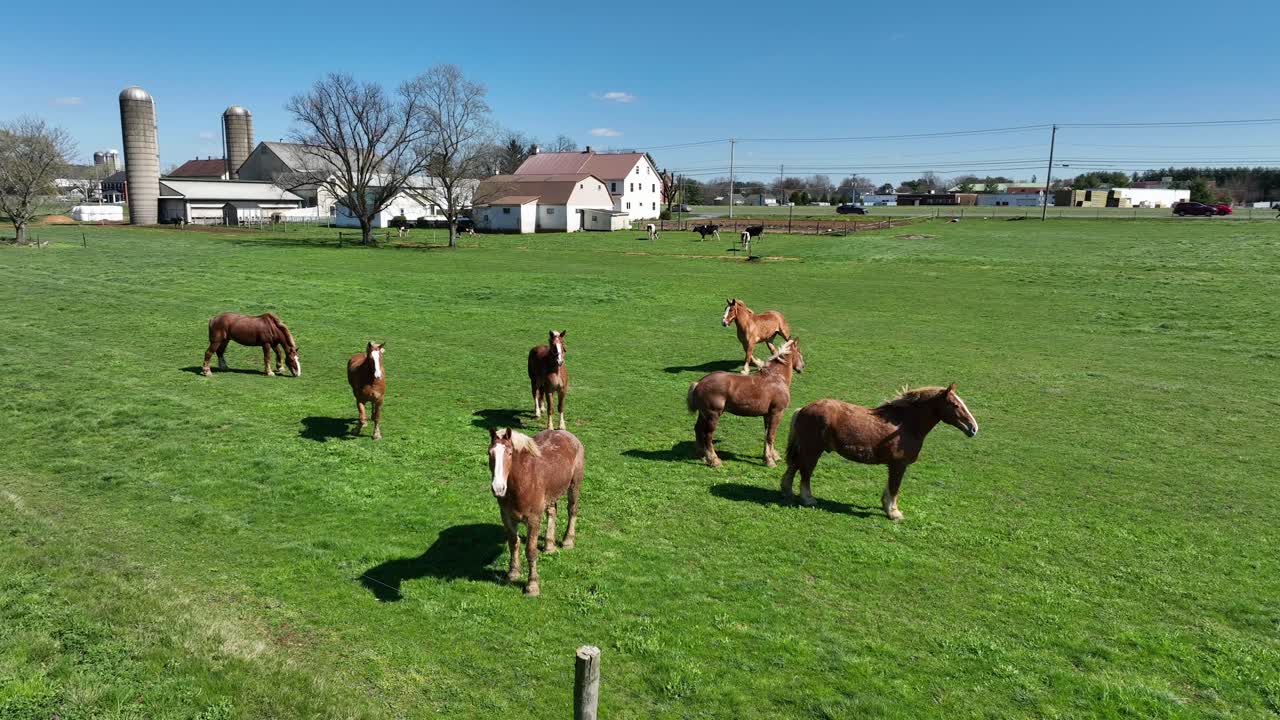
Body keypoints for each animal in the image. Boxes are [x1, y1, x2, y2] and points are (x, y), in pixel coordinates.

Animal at [487, 427, 584, 597]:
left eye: (509, 453)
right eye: (489, 453)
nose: (498, 488)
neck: (523, 481)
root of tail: (565, 433)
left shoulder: (533, 519)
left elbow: (530, 551)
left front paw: (532, 586)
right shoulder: (506, 517)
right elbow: (513, 543)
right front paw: (513, 573)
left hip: (574, 485)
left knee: (572, 510)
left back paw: (567, 541)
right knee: (552, 512)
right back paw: (549, 546)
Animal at [687, 339, 805, 467]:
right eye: (799, 352)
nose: (802, 366)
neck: (776, 377)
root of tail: (699, 383)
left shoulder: (767, 415)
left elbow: (766, 435)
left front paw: (771, 456)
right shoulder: (777, 412)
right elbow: (771, 436)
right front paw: (770, 461)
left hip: (703, 414)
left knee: (698, 429)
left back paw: (702, 455)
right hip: (713, 415)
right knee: (707, 436)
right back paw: (714, 460)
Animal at [779, 384, 978, 521]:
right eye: (954, 404)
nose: (973, 428)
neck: (905, 424)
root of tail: (803, 409)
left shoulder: (894, 465)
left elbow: (890, 487)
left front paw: (886, 506)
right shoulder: (899, 465)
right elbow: (894, 487)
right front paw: (894, 513)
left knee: (794, 466)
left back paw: (787, 491)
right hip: (812, 451)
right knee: (805, 472)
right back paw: (808, 499)